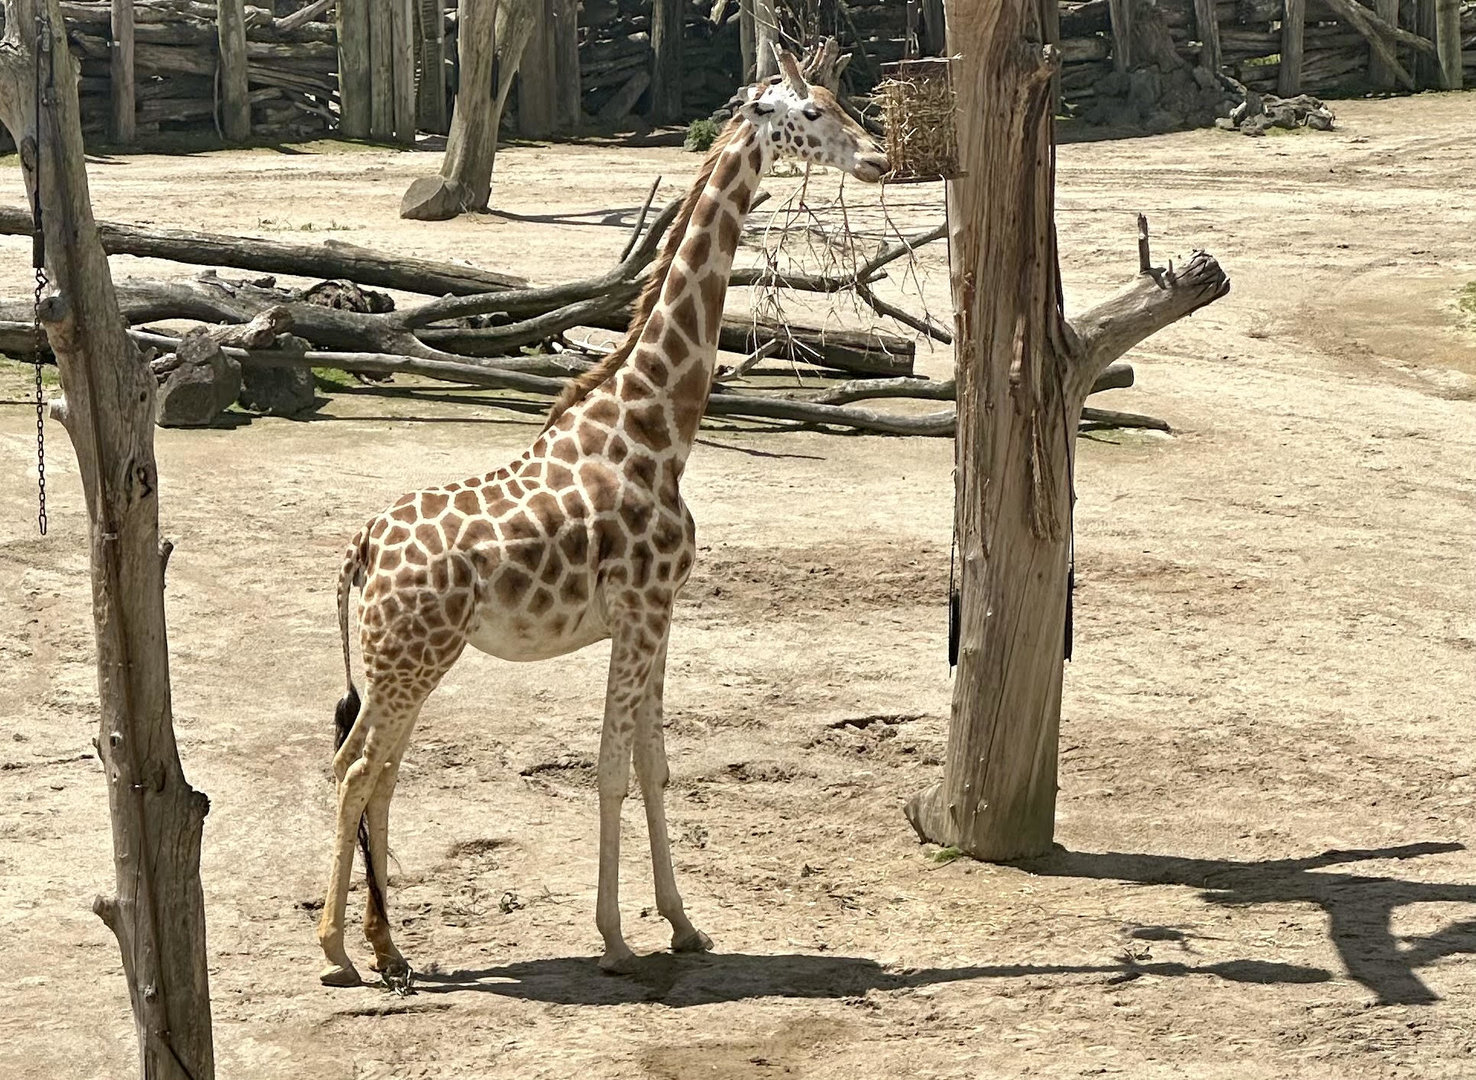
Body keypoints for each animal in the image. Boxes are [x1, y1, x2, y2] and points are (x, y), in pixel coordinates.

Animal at [316, 50, 889, 988]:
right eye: (810, 111)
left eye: (842, 101)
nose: (878, 158)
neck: (655, 421)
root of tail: (360, 549)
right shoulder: (642, 609)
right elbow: (612, 770)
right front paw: (617, 940)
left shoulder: (658, 616)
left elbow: (656, 765)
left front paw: (684, 925)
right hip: (411, 655)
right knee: (358, 766)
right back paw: (336, 950)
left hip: (405, 659)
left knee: (378, 766)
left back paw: (389, 946)